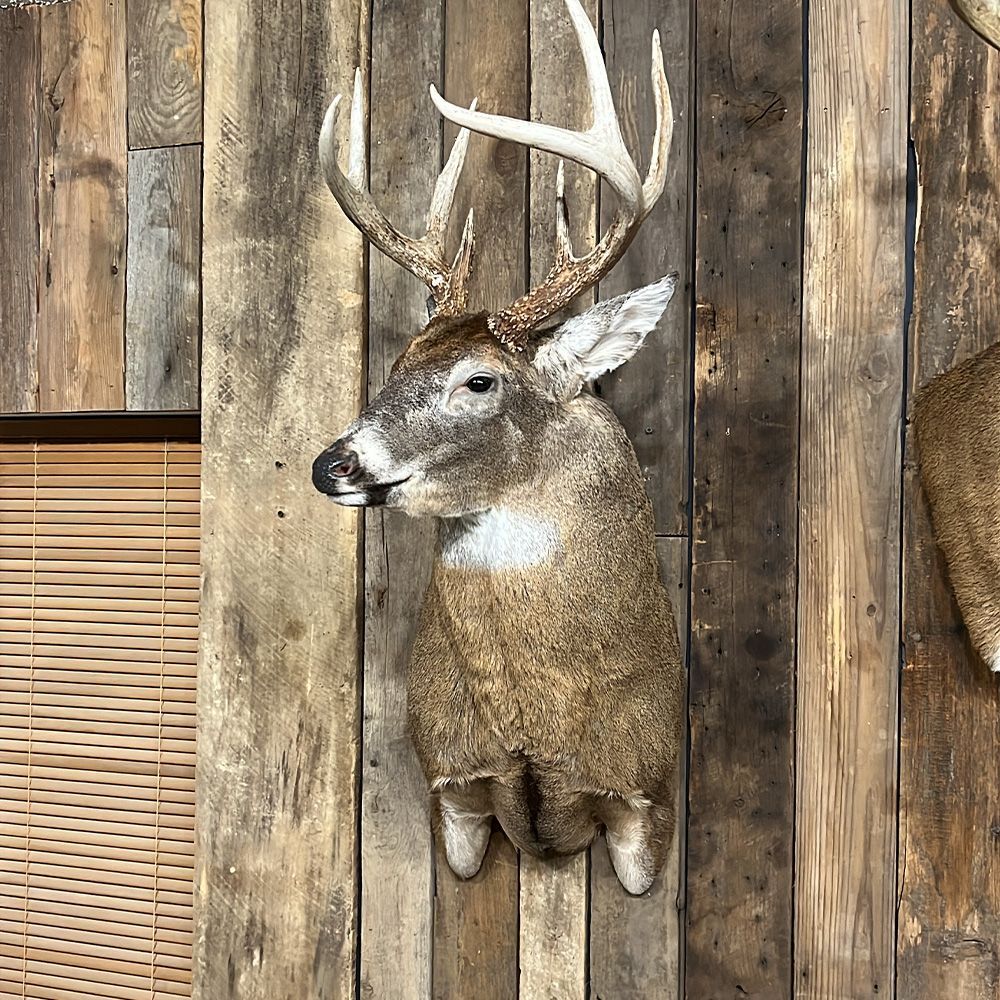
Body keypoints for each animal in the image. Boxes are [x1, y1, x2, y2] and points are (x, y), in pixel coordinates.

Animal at [312, 0, 683, 894]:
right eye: (397, 363)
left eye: (478, 381)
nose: (332, 463)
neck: (536, 723)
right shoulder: (450, 787)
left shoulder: (647, 799)